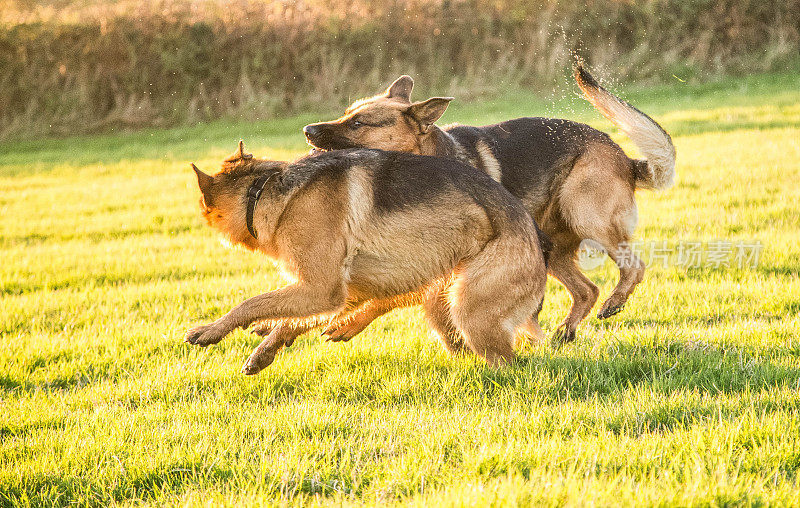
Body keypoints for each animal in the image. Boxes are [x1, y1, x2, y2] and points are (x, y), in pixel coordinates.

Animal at [186, 142, 552, 374]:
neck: (261, 191)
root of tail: (539, 245)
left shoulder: (322, 288)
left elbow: (249, 303)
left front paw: (211, 331)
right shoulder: (340, 288)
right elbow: (290, 317)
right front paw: (267, 346)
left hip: (468, 308)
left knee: (511, 367)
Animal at [304, 62, 680, 342]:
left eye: (358, 123)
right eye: (346, 113)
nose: (307, 130)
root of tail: (625, 158)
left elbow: (389, 297)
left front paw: (349, 322)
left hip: (586, 216)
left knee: (634, 266)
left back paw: (613, 303)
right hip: (550, 246)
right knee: (587, 290)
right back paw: (565, 331)